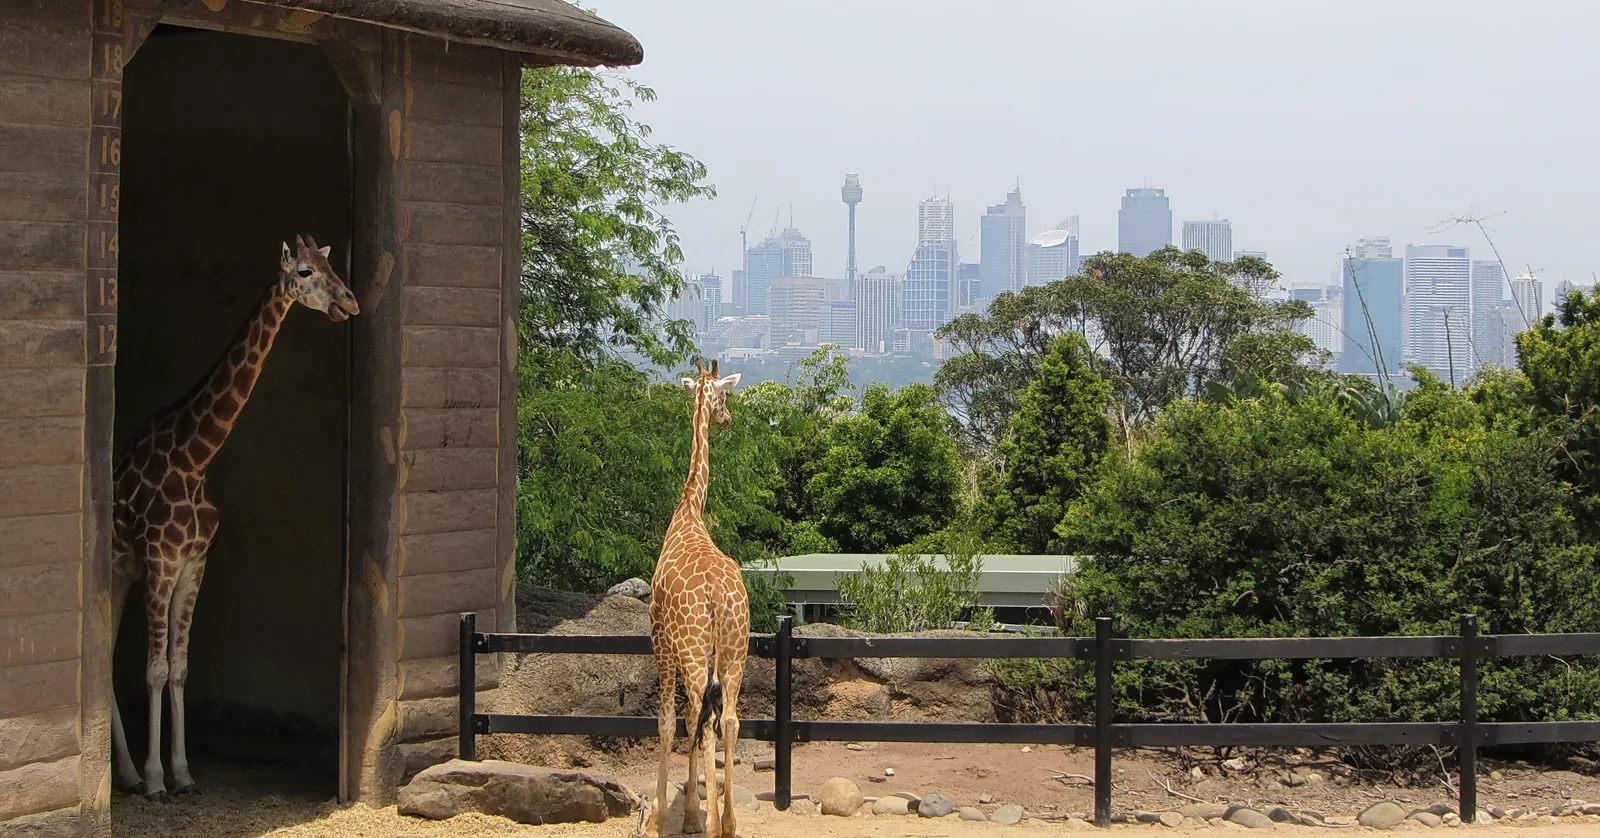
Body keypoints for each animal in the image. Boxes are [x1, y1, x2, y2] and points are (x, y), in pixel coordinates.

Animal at [108, 235, 360, 800]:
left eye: (333, 264)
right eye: (306, 271)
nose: (350, 302)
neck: (194, 457)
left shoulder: (193, 565)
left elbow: (179, 668)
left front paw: (181, 774)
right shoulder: (160, 563)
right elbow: (155, 670)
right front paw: (157, 781)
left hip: (119, 579)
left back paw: (126, 774)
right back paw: (134, 776)